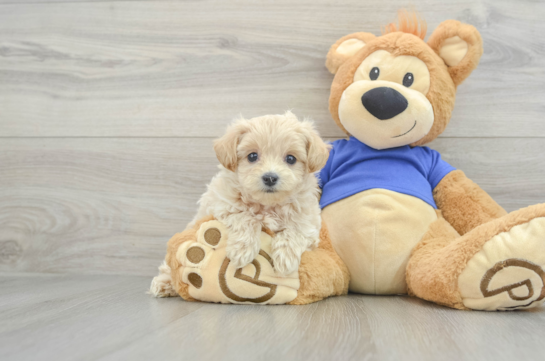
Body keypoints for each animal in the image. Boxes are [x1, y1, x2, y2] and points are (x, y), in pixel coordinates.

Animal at [148, 113, 328, 298]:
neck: (268, 205)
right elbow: (245, 216)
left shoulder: (309, 222)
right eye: (252, 156)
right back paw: (164, 283)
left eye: (291, 158)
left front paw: (285, 258)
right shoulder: (223, 205)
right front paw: (242, 251)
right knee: (168, 268)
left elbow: (296, 230)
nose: (270, 177)